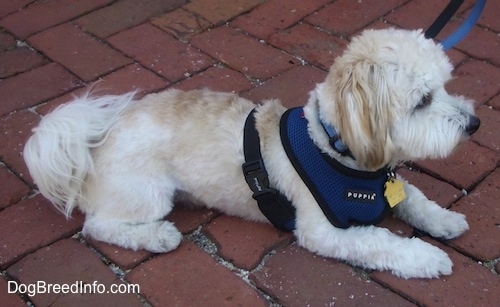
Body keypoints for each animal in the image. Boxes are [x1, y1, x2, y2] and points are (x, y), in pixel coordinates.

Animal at [23, 28, 480, 280]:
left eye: (444, 86)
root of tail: (97, 143)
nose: (473, 123)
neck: (335, 150)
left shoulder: (390, 186)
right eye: (422, 101)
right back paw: (154, 236)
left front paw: (443, 219)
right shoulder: (323, 232)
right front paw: (425, 256)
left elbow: (415, 198)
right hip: (146, 193)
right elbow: (381, 241)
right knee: (98, 226)